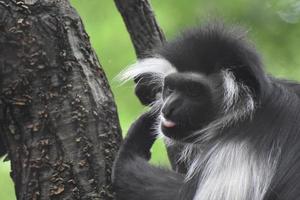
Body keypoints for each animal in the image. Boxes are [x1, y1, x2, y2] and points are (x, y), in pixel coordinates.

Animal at [112, 22, 300, 199]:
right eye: (171, 88)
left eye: (193, 91)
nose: (167, 108)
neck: (245, 111)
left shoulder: (237, 149)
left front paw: (137, 136)